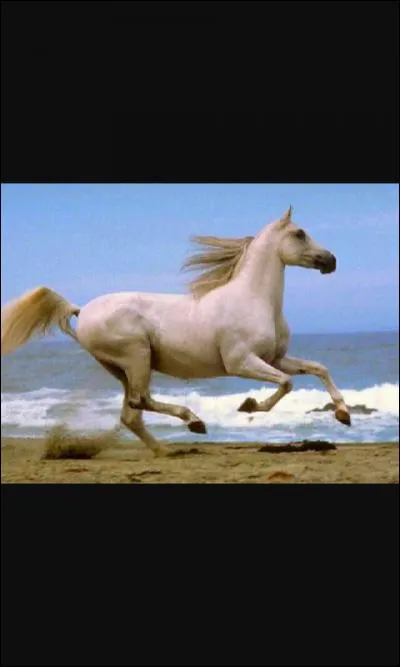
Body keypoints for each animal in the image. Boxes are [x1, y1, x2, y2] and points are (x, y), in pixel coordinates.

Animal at [1, 206, 351, 456]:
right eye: (300, 233)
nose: (331, 260)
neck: (255, 300)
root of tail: (82, 309)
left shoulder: (275, 358)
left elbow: (318, 369)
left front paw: (343, 414)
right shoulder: (241, 362)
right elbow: (288, 383)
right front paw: (249, 405)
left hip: (121, 368)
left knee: (131, 414)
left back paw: (165, 449)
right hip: (137, 356)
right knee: (140, 401)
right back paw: (194, 422)